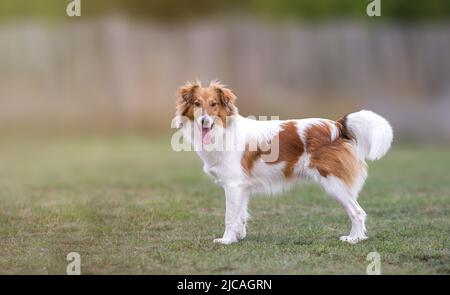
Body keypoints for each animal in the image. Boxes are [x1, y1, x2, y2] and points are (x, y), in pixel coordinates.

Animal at [174, 80, 392, 245]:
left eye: (213, 104)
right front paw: (238, 237)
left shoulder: (233, 185)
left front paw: (227, 240)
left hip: (333, 183)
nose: (204, 120)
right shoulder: (242, 187)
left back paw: (355, 239)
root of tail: (336, 126)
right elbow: (241, 215)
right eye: (196, 103)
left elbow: (229, 217)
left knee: (357, 212)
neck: (223, 132)